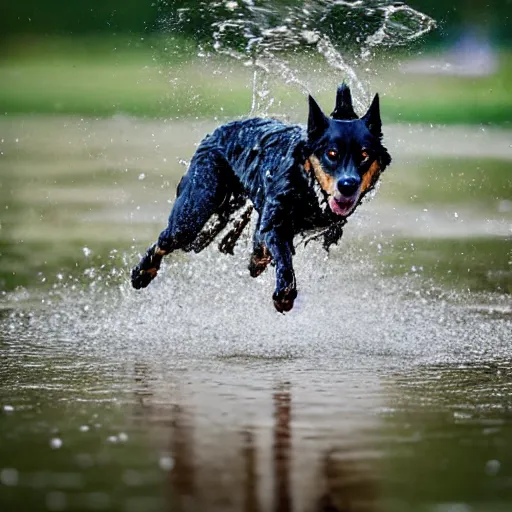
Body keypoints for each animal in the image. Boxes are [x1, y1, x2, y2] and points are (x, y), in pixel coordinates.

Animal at [132, 84, 392, 312]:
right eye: (332, 153)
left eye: (364, 155)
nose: (348, 184)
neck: (308, 186)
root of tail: (217, 132)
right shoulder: (275, 222)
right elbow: (283, 258)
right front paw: (284, 294)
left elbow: (264, 245)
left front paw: (259, 259)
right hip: (193, 211)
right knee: (167, 239)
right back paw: (142, 272)